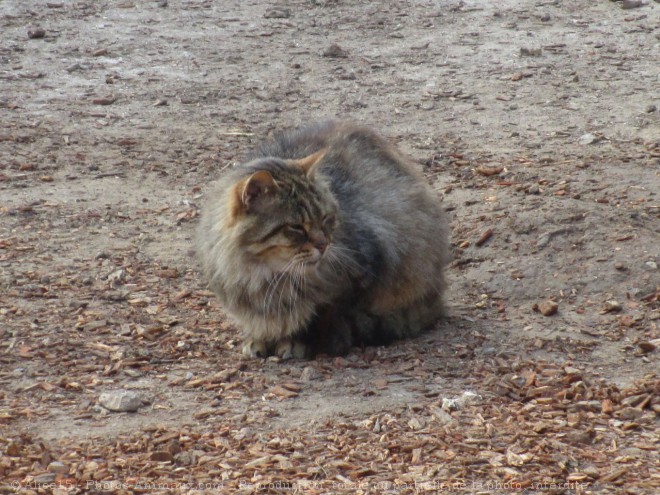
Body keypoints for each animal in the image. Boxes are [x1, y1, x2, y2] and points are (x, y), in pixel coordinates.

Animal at [196, 121, 452, 360]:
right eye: (296, 227)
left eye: (326, 219)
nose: (324, 245)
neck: (267, 275)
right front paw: (258, 339)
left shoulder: (355, 277)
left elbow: (317, 317)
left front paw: (297, 342)